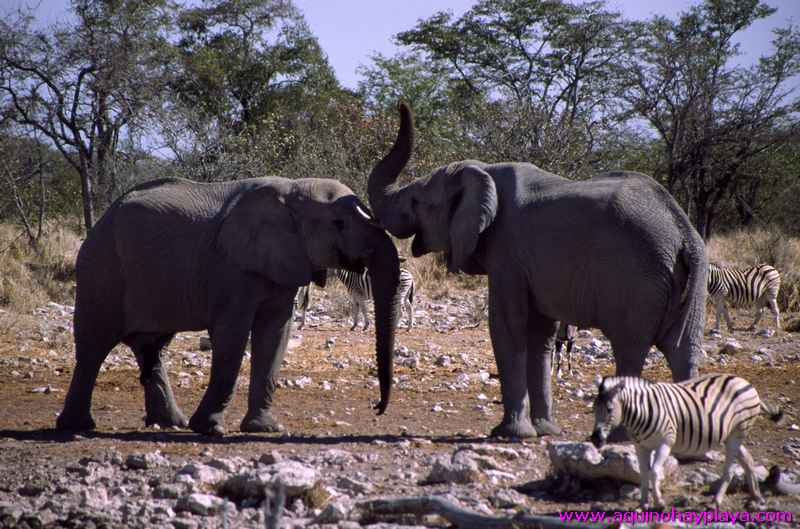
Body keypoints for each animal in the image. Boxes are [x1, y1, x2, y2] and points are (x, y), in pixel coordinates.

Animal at [56, 175, 400, 436]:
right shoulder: (231, 267)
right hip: (102, 268)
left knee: (151, 347)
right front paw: (210, 429)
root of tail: (100, 220)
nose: (376, 408)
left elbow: (275, 334)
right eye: (338, 223)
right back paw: (77, 427)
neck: (293, 189)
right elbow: (232, 334)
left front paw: (265, 428)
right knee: (94, 345)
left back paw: (171, 424)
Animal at [368, 103, 708, 438]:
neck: (484, 170)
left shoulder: (507, 253)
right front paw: (545, 431)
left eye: (417, 201)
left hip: (638, 281)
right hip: (694, 278)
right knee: (684, 350)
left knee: (630, 349)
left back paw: (621, 439)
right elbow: (540, 334)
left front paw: (508, 434)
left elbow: (507, 327)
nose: (401, 104)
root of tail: (682, 233)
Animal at [592, 374, 784, 510]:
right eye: (594, 408)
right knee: (747, 460)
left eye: (609, 409)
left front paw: (659, 504)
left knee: (730, 469)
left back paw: (715, 502)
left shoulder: (665, 443)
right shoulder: (640, 446)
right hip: (731, 435)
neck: (642, 412)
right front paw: (642, 505)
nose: (595, 439)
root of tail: (744, 381)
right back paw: (757, 498)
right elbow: (644, 474)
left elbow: (654, 472)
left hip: (738, 431)